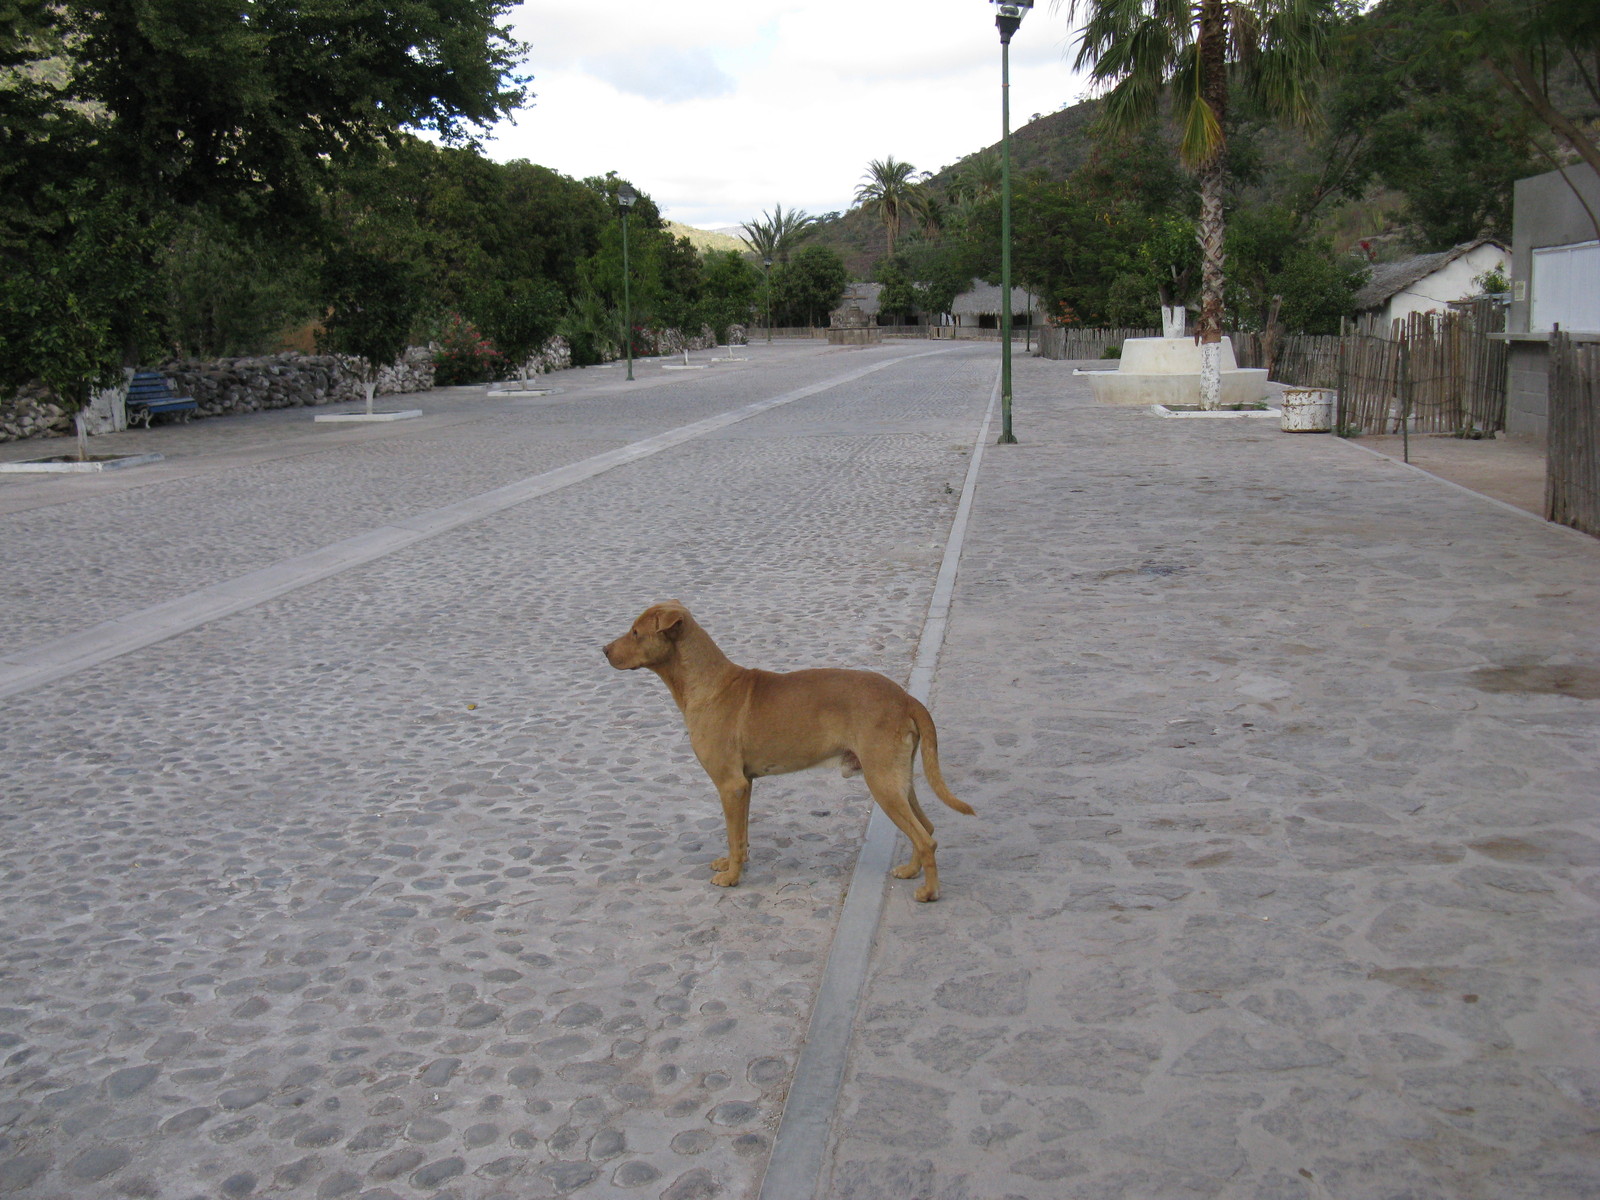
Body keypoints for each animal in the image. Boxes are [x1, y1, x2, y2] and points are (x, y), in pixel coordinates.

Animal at [604, 601, 966, 902]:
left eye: (635, 632)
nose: (603, 649)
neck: (708, 684)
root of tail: (906, 698)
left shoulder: (730, 786)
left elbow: (734, 836)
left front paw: (731, 878)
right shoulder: (745, 785)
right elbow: (741, 835)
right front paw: (734, 863)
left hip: (882, 782)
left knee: (925, 838)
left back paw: (929, 892)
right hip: (898, 780)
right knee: (927, 828)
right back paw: (910, 871)